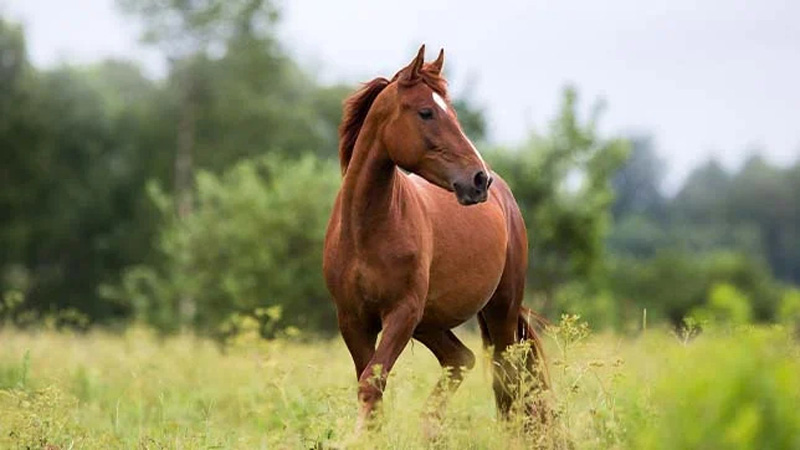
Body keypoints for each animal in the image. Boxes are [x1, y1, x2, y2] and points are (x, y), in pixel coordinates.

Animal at [322, 44, 548, 432]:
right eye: (426, 112)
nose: (478, 180)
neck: (366, 231)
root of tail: (505, 198)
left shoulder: (402, 313)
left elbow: (372, 384)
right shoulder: (353, 320)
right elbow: (370, 386)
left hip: (499, 309)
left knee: (507, 376)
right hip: (430, 322)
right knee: (461, 358)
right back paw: (430, 427)